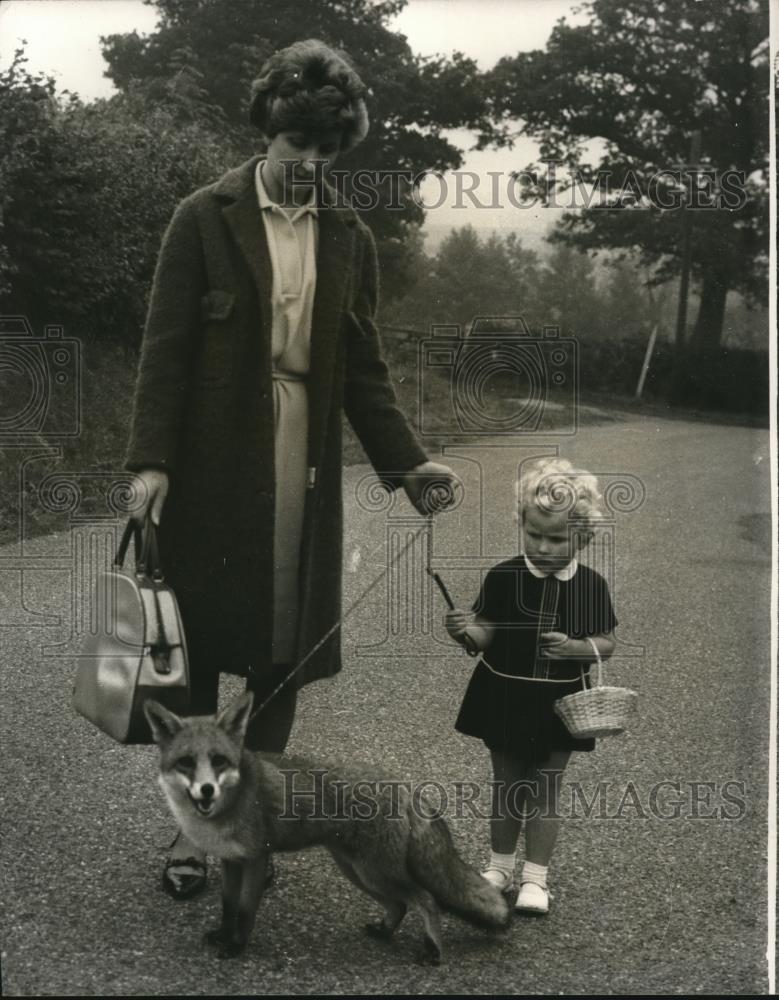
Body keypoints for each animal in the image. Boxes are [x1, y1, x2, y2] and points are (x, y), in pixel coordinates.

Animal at [145, 692, 512, 964]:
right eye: (186, 763)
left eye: (218, 761)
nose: (206, 790)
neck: (223, 814)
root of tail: (405, 786)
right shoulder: (231, 861)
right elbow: (228, 907)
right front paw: (223, 935)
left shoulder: (255, 860)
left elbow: (246, 911)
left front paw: (236, 948)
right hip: (357, 870)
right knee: (400, 905)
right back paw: (384, 932)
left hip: (375, 871)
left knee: (426, 900)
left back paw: (433, 951)